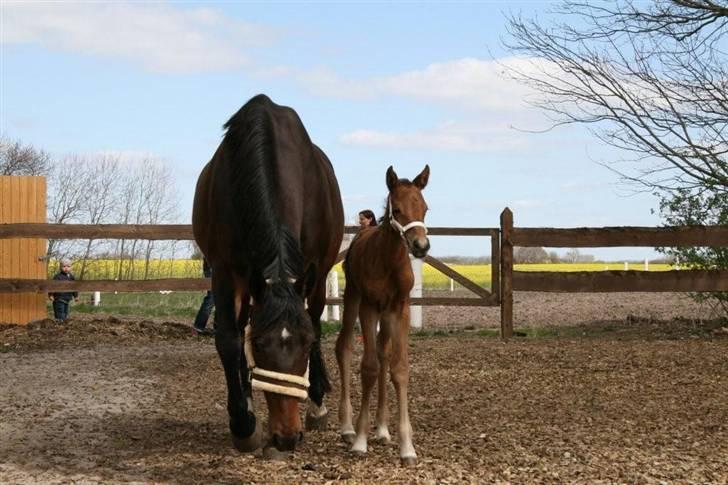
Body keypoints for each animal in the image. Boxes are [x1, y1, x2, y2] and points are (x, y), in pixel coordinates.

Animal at [336, 164, 432, 464]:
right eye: (397, 209)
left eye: (424, 208)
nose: (421, 246)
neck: (388, 260)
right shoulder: (368, 305)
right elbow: (367, 368)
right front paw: (360, 440)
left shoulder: (400, 308)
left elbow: (398, 368)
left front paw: (406, 446)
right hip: (353, 297)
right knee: (344, 348)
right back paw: (348, 428)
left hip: (386, 314)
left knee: (383, 354)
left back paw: (382, 429)